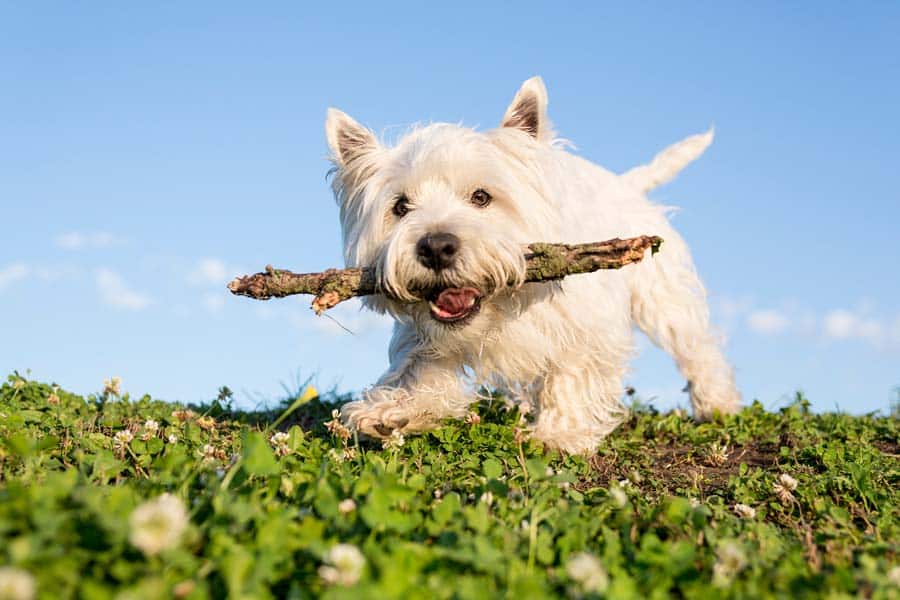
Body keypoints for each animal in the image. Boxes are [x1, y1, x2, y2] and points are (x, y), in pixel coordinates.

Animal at [324, 78, 740, 454]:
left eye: (481, 196)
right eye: (400, 206)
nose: (437, 248)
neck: (502, 308)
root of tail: (626, 185)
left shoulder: (588, 327)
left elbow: (572, 373)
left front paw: (559, 435)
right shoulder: (425, 337)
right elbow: (418, 369)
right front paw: (391, 411)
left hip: (664, 297)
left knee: (697, 349)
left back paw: (717, 405)